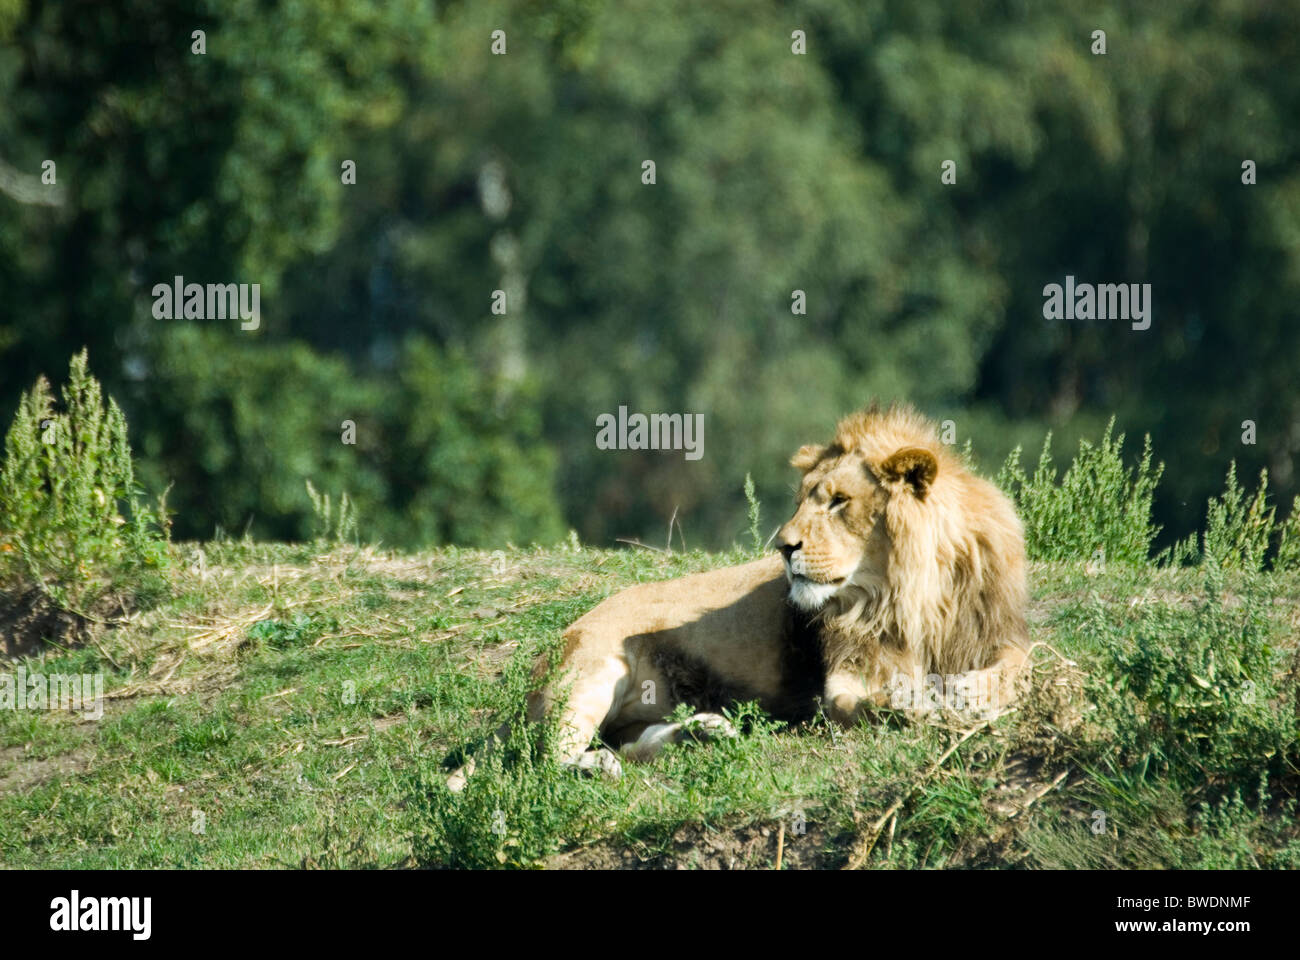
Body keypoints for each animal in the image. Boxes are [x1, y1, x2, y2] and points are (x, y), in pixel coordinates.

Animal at [447, 402, 1029, 790]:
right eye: (802, 500)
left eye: (838, 501)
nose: (783, 547)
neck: (908, 593)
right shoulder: (843, 679)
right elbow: (872, 703)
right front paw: (925, 701)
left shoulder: (1003, 638)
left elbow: (1015, 672)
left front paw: (964, 691)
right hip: (591, 672)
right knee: (540, 757)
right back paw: (599, 763)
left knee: (631, 745)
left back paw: (703, 732)